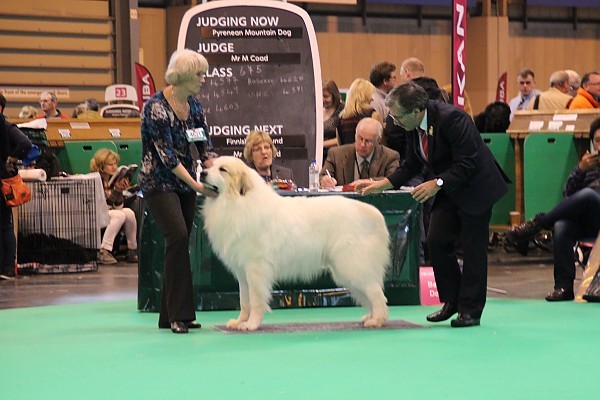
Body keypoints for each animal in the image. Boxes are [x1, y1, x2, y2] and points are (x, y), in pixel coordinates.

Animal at [202, 156, 390, 331]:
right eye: (210, 165)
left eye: (222, 170)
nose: (202, 173)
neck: (238, 201)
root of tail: (373, 213)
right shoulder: (242, 272)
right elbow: (244, 300)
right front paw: (240, 321)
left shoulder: (255, 269)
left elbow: (255, 300)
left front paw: (251, 324)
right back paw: (370, 317)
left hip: (353, 265)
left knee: (377, 294)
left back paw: (377, 320)